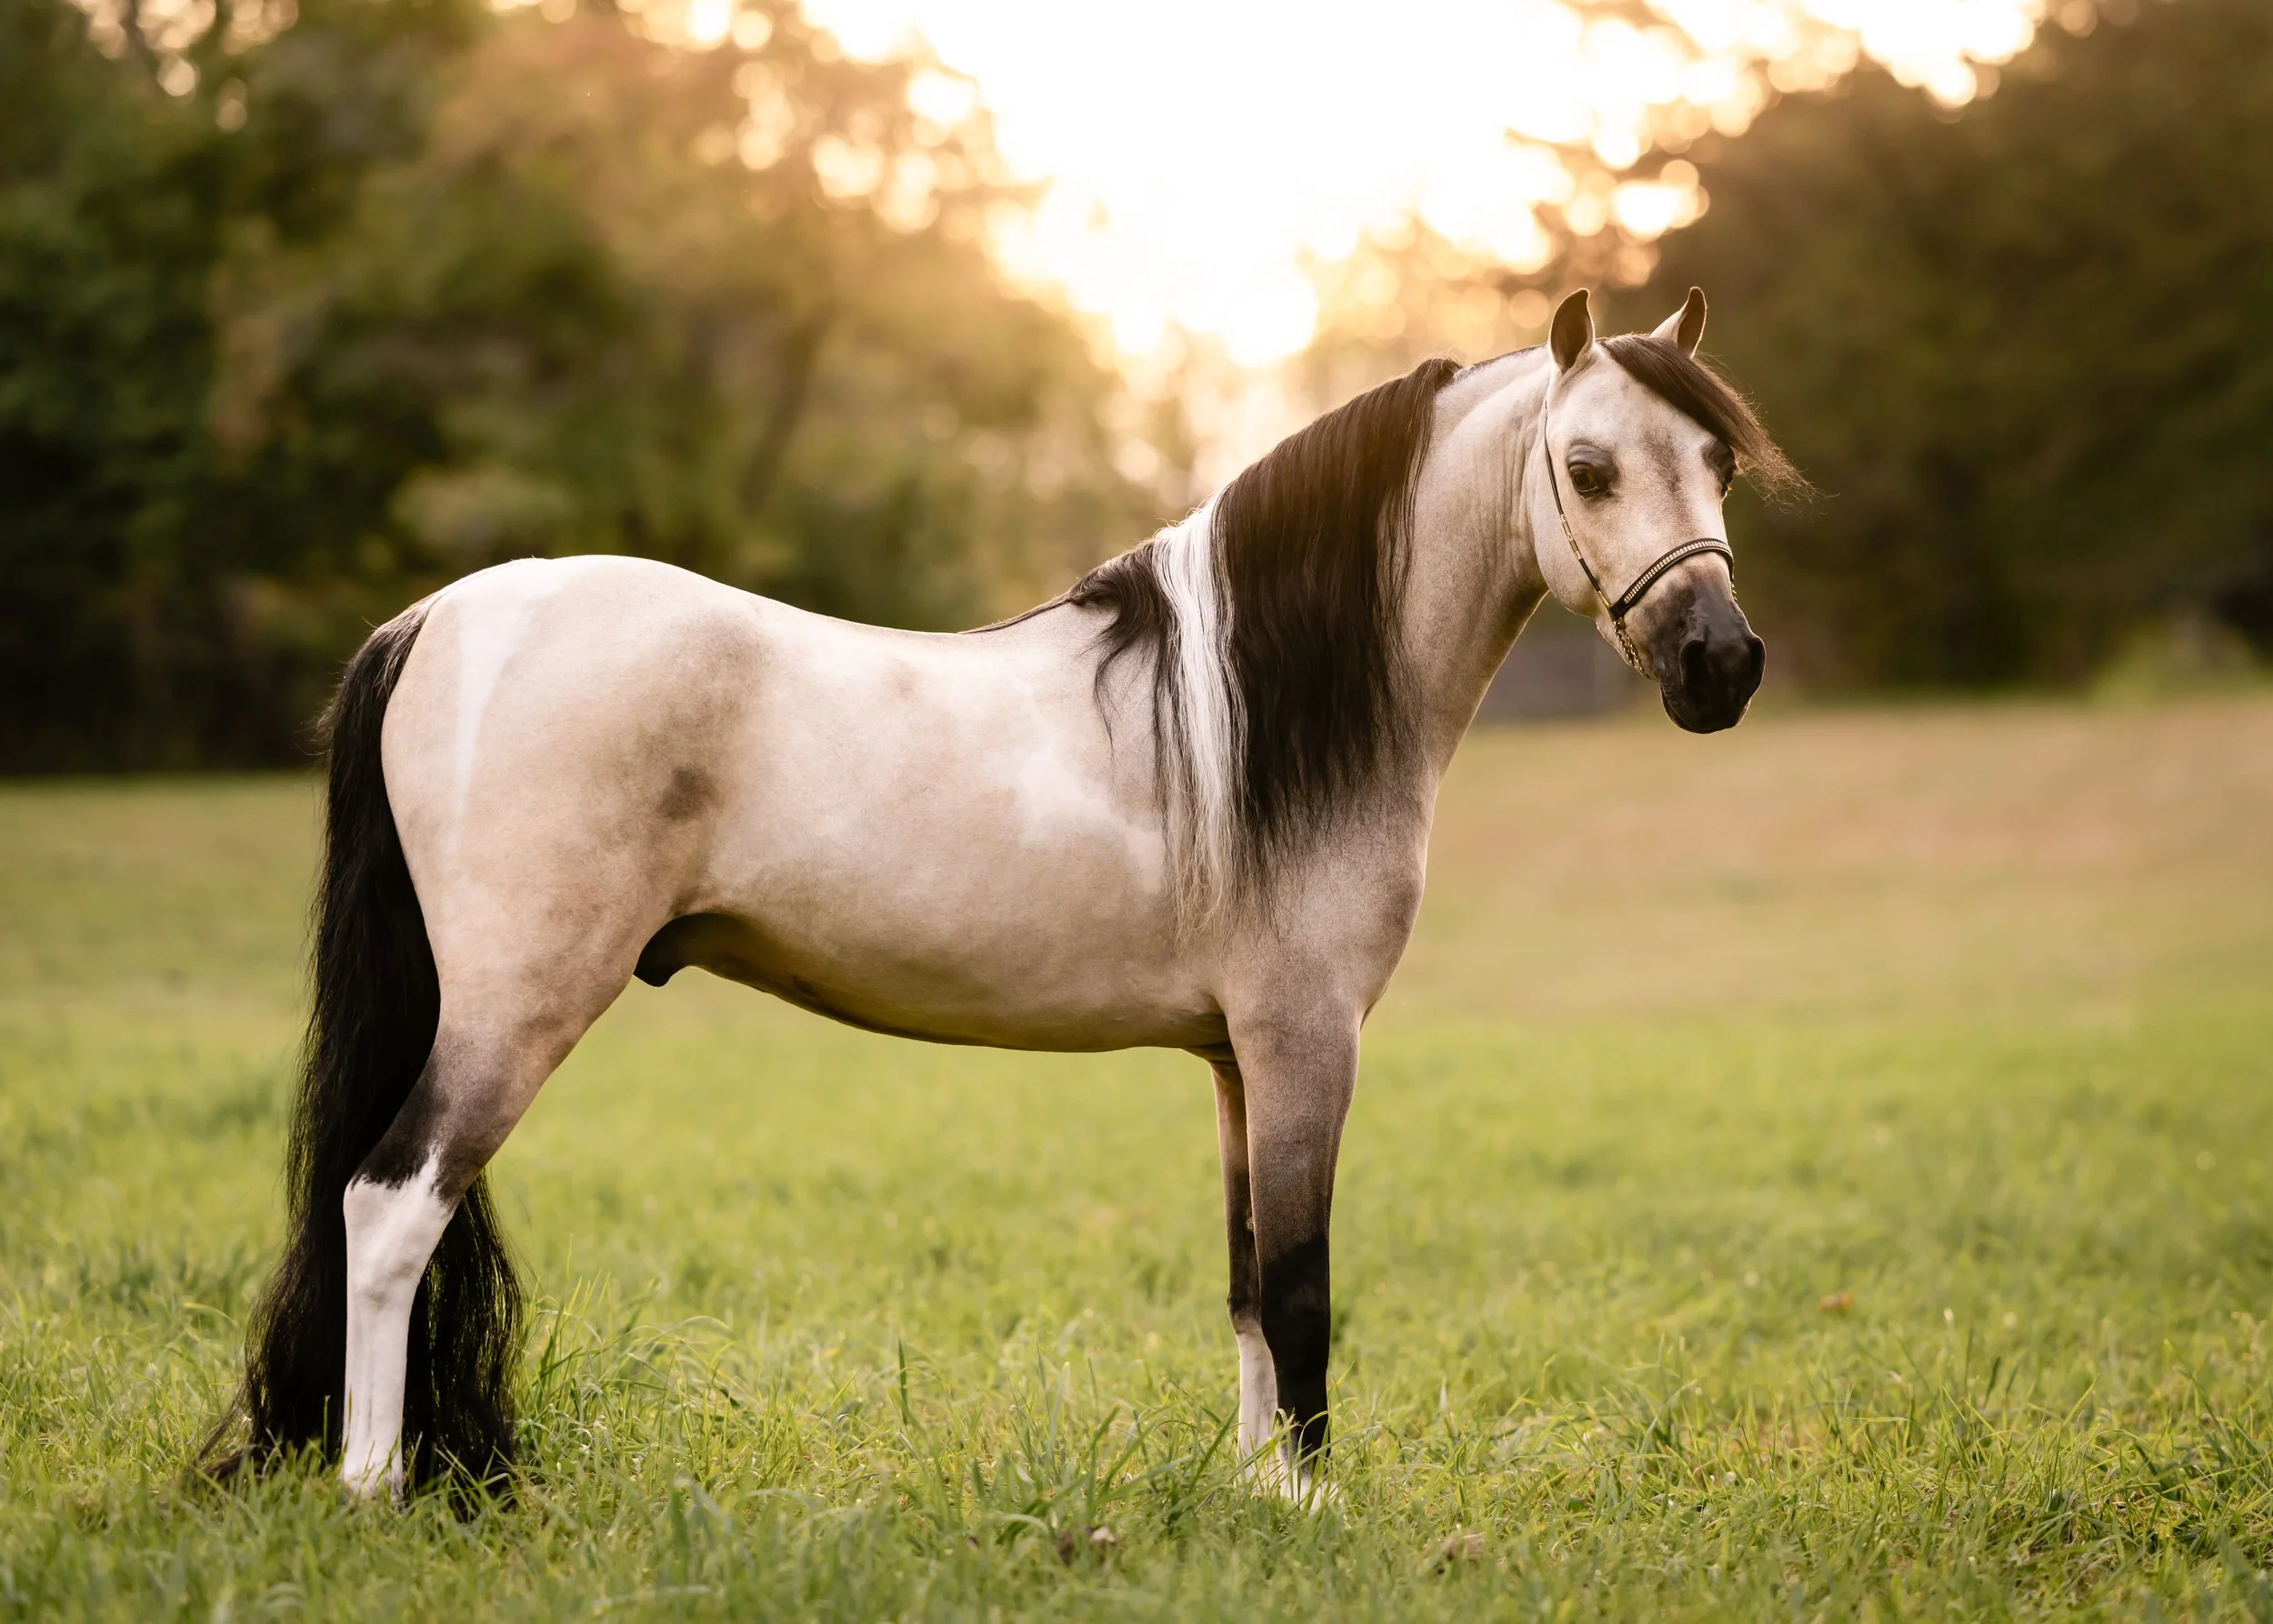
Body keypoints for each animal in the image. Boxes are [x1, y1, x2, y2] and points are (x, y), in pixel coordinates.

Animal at [209, 286, 1798, 1500]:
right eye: (1587, 467)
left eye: (1716, 463)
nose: (1720, 663)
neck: (1256, 704)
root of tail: (438, 616)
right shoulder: (1306, 1044)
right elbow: (1301, 1285)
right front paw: (1314, 1502)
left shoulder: (1238, 1060)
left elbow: (1243, 1283)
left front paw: (1255, 1499)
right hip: (513, 1011)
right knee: (389, 1207)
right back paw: (374, 1486)